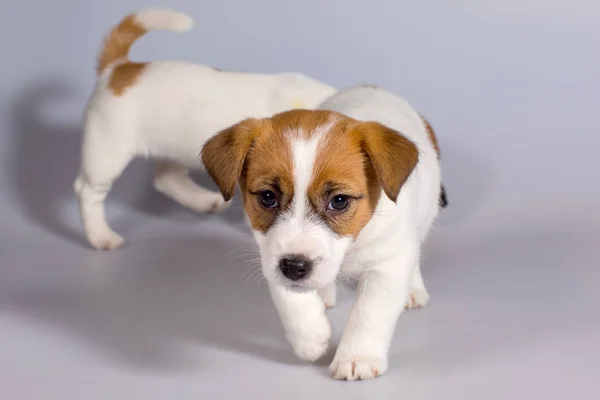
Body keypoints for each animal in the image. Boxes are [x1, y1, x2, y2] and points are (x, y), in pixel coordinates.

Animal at [72, 7, 336, 248]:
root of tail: (118, 68)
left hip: (171, 148)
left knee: (166, 179)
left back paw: (205, 201)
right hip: (108, 151)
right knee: (87, 191)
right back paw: (100, 236)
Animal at [204, 85, 448, 382]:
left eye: (339, 201)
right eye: (267, 197)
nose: (295, 268)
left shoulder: (387, 265)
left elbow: (370, 311)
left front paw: (357, 357)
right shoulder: (270, 251)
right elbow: (289, 296)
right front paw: (310, 336)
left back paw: (412, 289)